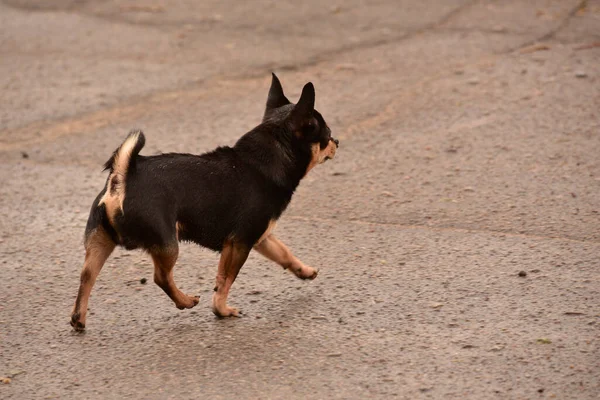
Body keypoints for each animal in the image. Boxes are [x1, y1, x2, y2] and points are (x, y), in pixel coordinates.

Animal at [69, 74, 338, 332]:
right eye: (326, 134)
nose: (337, 142)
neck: (267, 159)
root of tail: (122, 178)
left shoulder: (260, 237)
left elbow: (284, 253)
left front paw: (304, 270)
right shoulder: (238, 244)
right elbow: (225, 280)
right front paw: (221, 310)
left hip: (100, 242)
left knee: (87, 276)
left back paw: (79, 318)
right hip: (168, 244)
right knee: (161, 277)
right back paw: (185, 301)